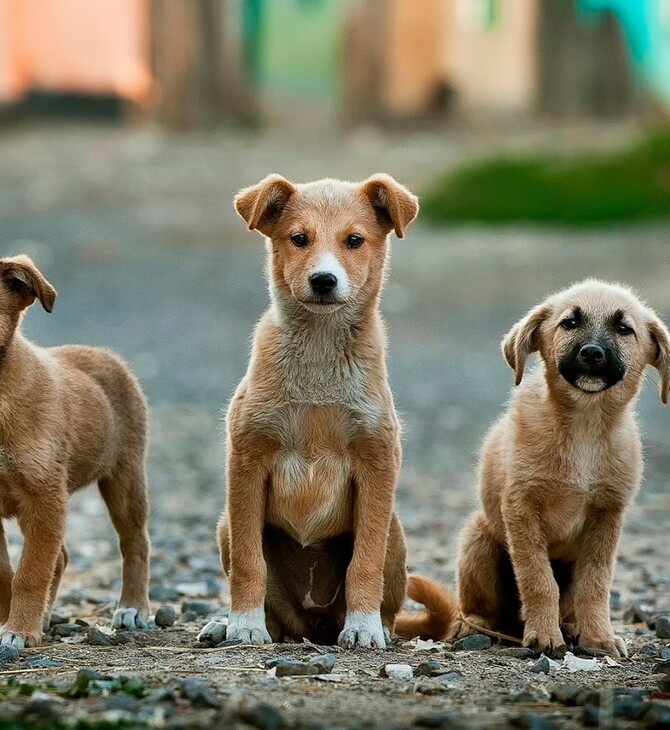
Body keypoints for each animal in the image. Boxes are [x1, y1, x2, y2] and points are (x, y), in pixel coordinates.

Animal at [0, 255, 151, 644]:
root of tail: (104, 353)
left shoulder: (45, 496)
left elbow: (30, 573)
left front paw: (18, 631)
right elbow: (7, 572)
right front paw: (11, 621)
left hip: (125, 479)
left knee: (135, 543)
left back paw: (133, 608)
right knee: (62, 556)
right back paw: (45, 616)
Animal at [200, 173, 420, 644]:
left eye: (354, 241)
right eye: (299, 238)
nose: (323, 280)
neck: (319, 354)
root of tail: (313, 624)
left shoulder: (377, 462)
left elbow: (364, 563)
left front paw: (363, 627)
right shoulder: (247, 460)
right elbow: (249, 563)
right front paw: (244, 625)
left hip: (394, 530)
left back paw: (378, 626)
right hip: (225, 525)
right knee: (274, 610)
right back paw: (230, 624)